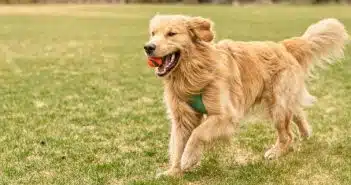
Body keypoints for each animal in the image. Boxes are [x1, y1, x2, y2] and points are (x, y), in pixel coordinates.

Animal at [144, 15, 350, 177]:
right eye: (153, 33)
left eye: (171, 33)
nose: (148, 47)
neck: (194, 72)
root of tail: (282, 45)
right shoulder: (182, 118)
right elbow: (178, 144)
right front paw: (174, 171)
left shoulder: (225, 115)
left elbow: (197, 133)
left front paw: (188, 159)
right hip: (282, 101)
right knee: (297, 111)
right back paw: (306, 132)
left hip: (277, 105)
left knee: (287, 135)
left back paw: (276, 152)